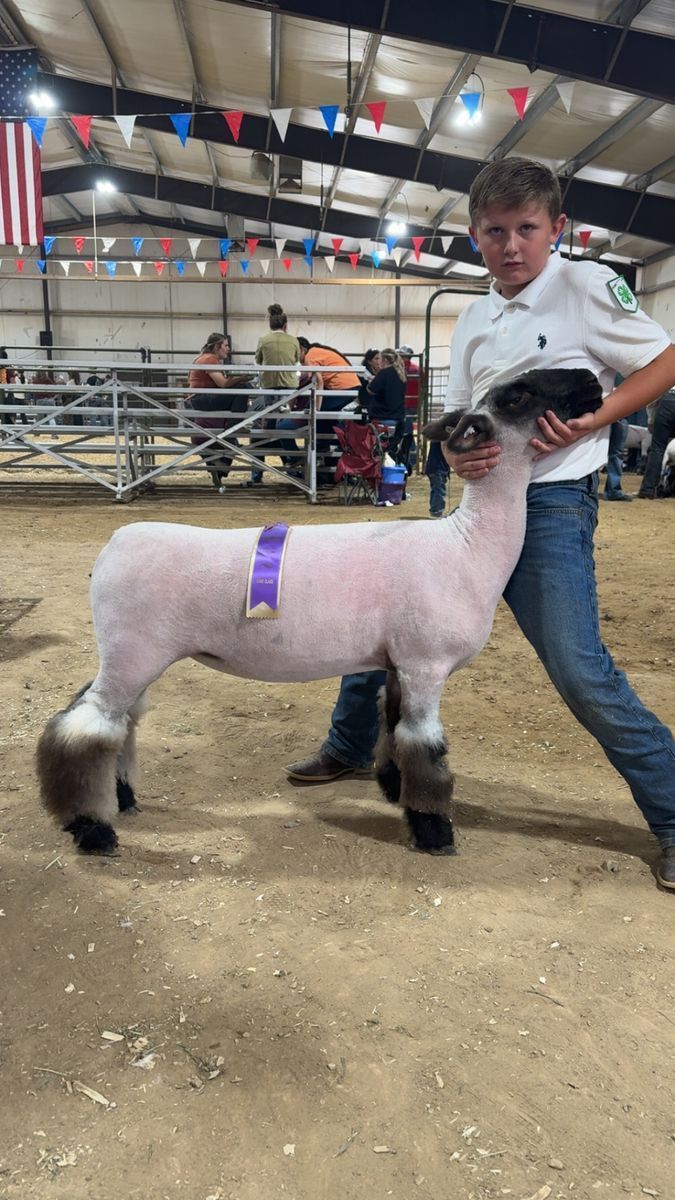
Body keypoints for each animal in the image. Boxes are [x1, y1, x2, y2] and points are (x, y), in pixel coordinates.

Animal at [36, 368, 602, 858]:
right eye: (517, 396)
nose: (593, 381)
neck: (466, 546)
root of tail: (114, 544)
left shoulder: (399, 664)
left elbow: (394, 729)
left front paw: (395, 791)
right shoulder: (426, 664)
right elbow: (426, 748)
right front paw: (433, 830)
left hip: (132, 655)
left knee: (114, 722)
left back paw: (122, 799)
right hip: (133, 653)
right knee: (85, 728)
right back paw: (92, 831)